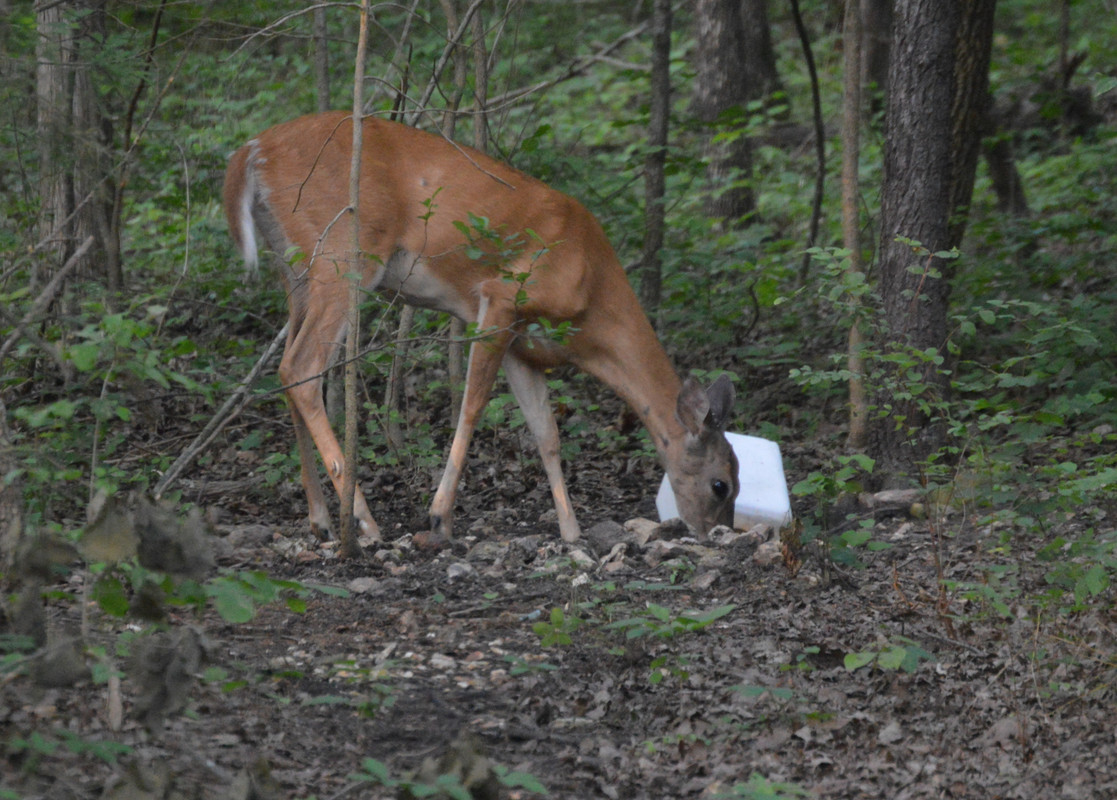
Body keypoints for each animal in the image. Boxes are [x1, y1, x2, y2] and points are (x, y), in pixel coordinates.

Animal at [223, 111, 739, 548]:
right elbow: (471, 407)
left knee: (285, 367)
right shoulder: (501, 299)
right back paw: (365, 522)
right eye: (722, 485)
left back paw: (321, 519)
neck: (591, 296)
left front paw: (572, 532)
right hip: (345, 254)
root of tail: (252, 150)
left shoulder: (523, 348)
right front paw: (439, 518)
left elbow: (547, 434)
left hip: (296, 269)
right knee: (301, 365)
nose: (714, 533)